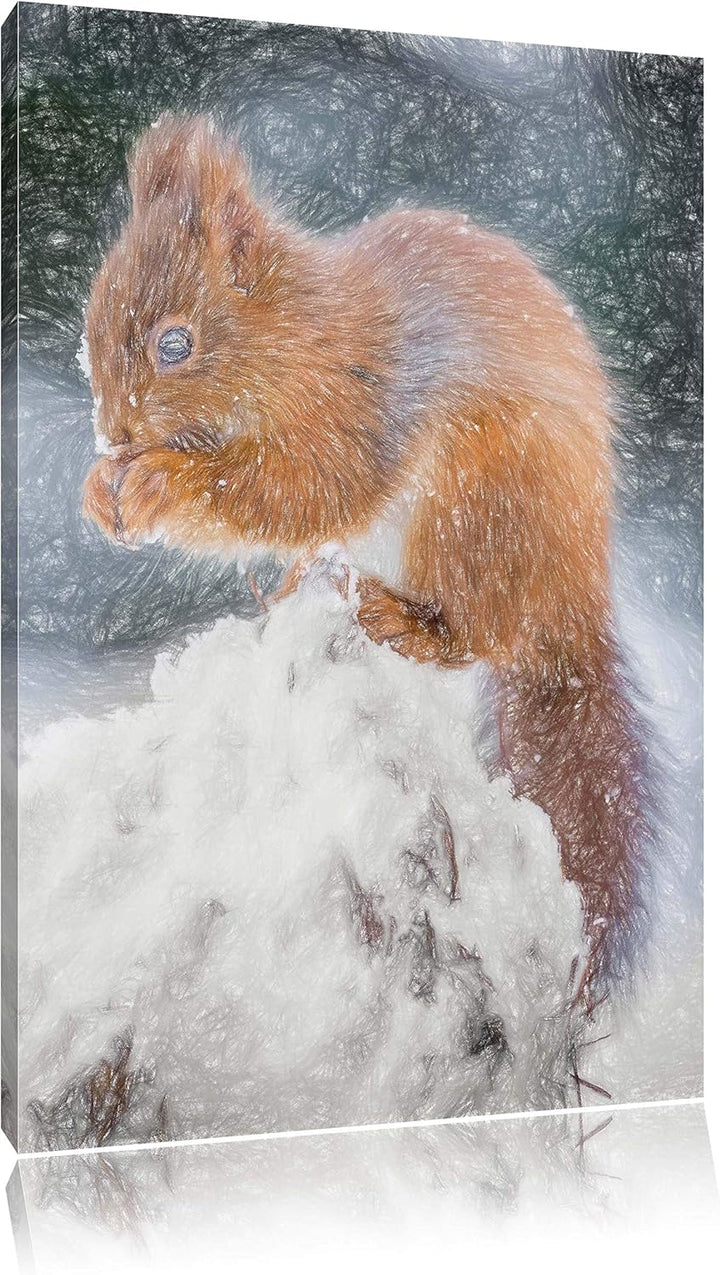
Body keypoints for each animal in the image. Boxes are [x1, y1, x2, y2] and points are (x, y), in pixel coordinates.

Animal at [82, 115, 651, 993]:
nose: (112, 430)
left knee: (479, 636)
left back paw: (405, 623)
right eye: (94, 316)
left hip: (481, 505)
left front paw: (158, 483)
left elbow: (303, 490)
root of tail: (573, 590)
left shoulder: (356, 407)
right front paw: (99, 490)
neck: (296, 334)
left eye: (174, 344)